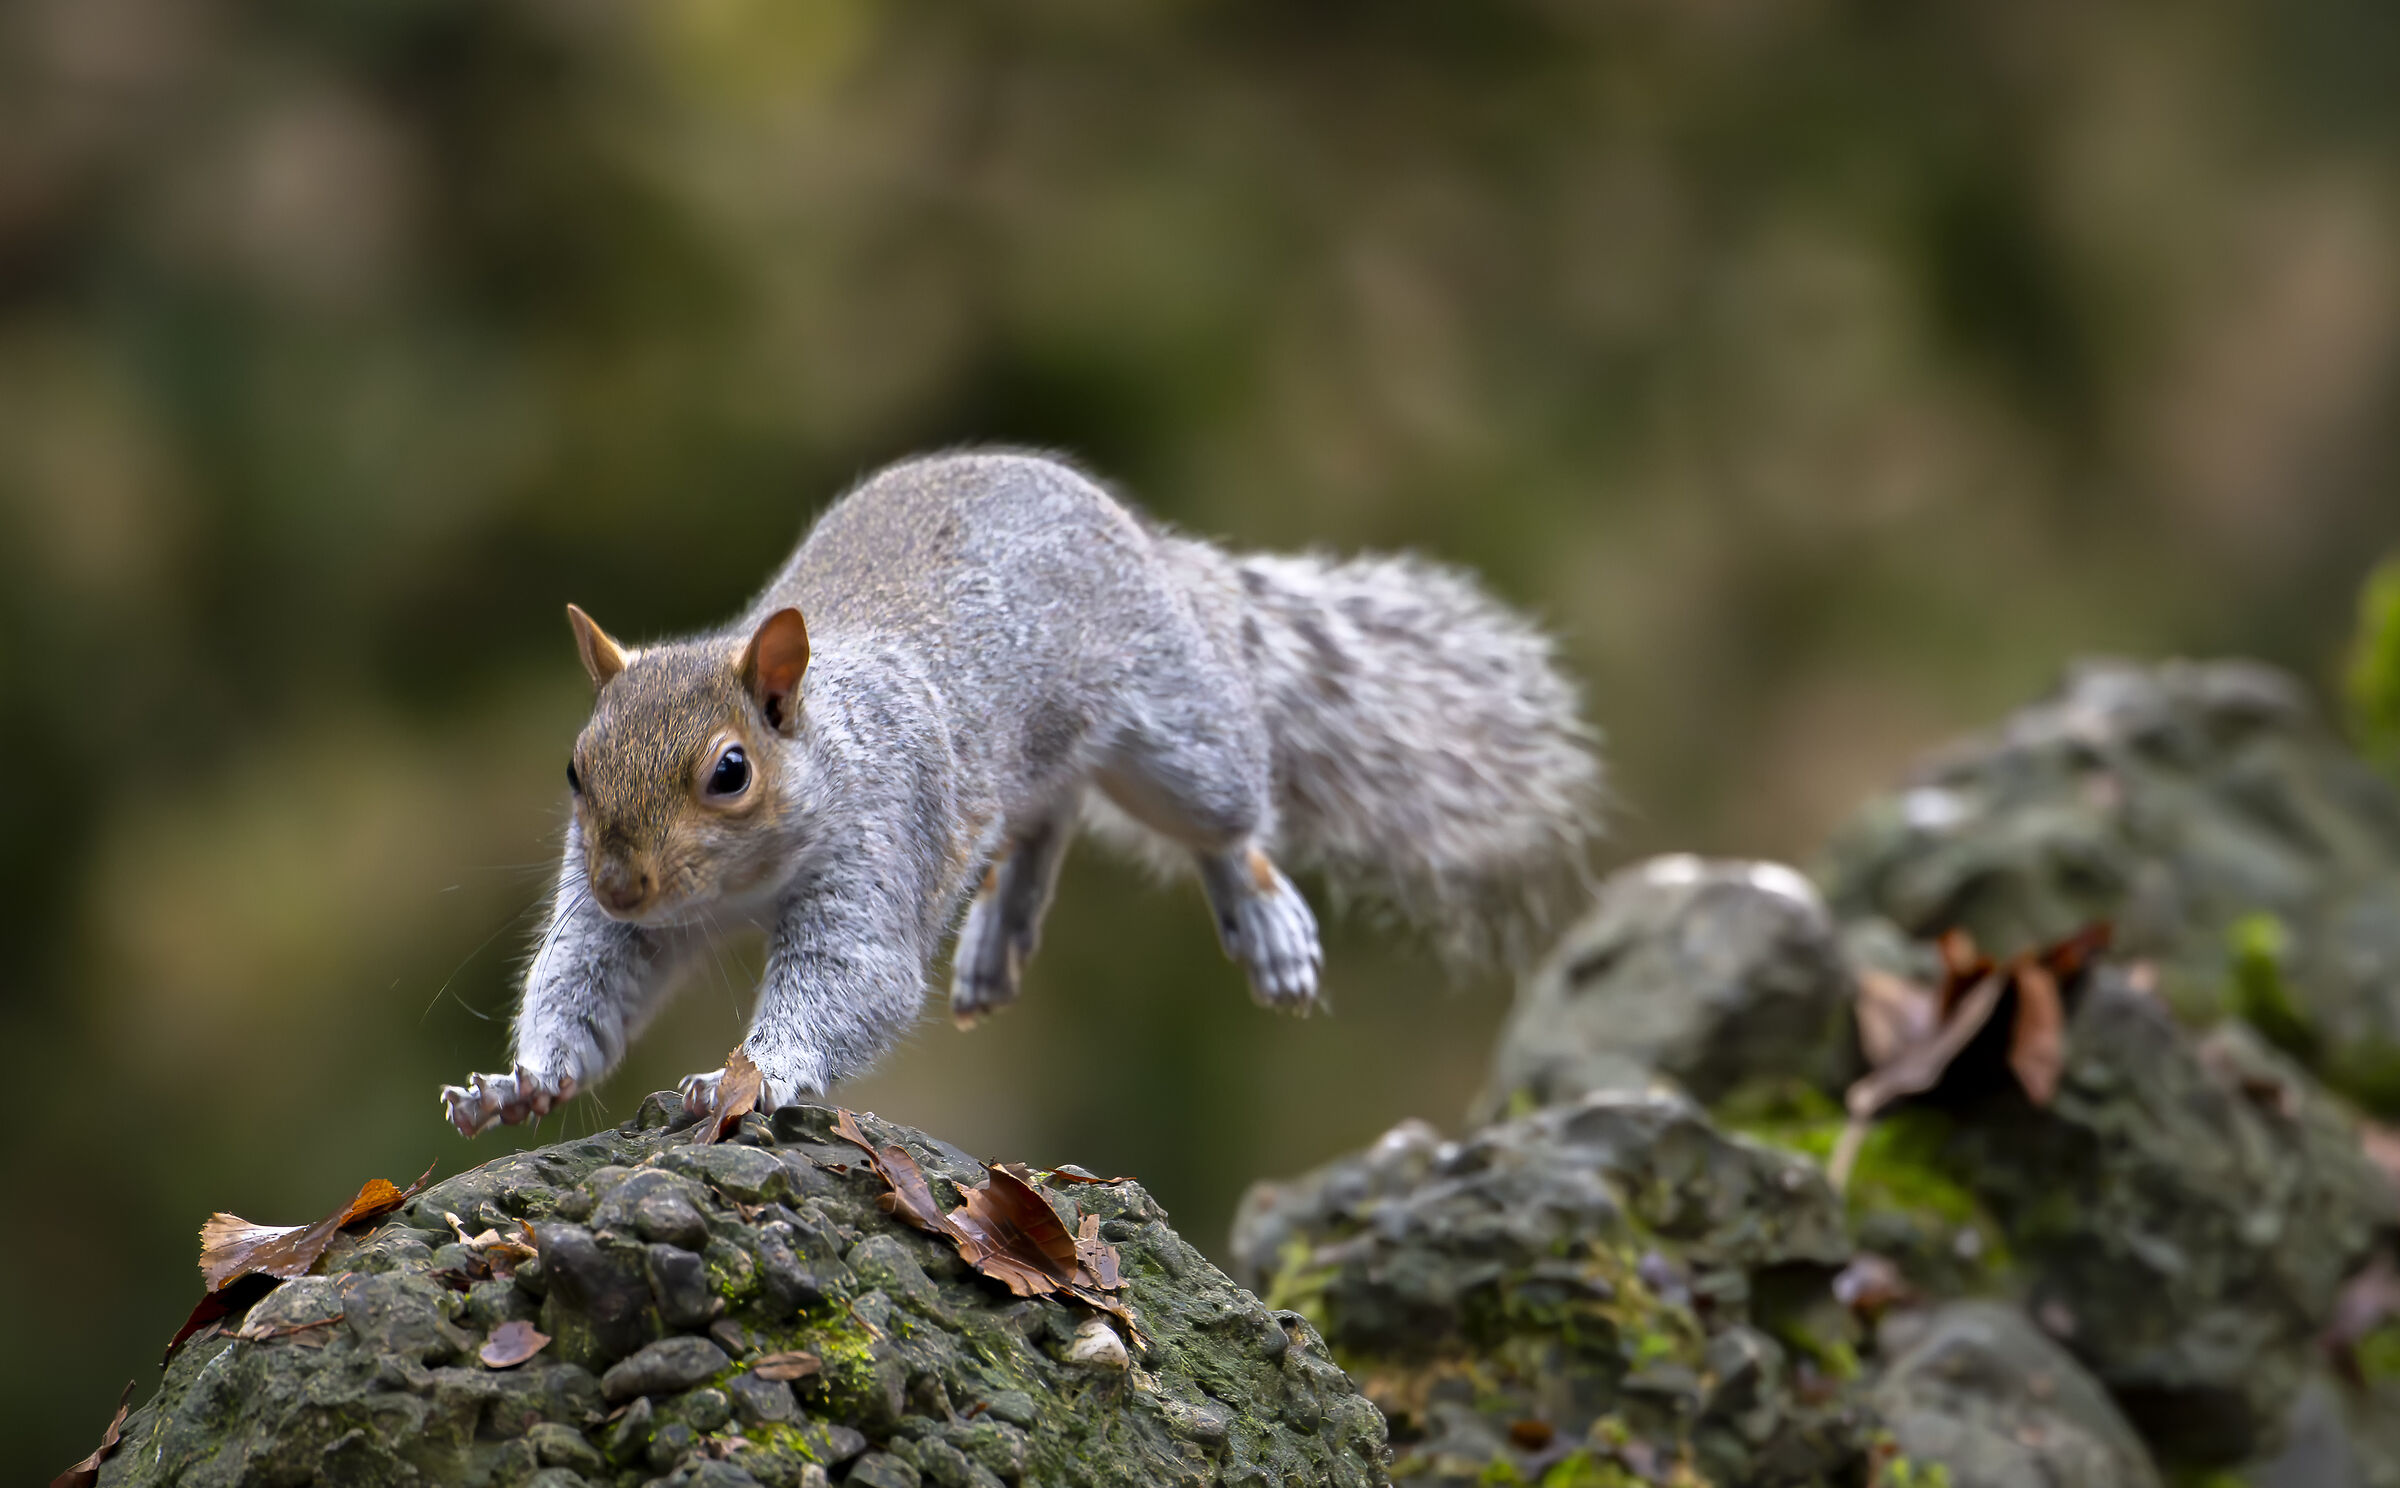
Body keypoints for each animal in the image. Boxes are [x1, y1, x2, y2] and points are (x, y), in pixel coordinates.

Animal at [440, 449, 1602, 1136]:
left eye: (729, 771)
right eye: (576, 768)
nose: (622, 882)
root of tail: (1150, 545)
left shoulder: (878, 845)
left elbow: (856, 980)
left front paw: (753, 1076)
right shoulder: (621, 925)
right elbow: (585, 980)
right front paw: (524, 1083)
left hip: (1177, 737)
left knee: (1228, 820)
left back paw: (1263, 916)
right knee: (1049, 816)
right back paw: (1001, 926)